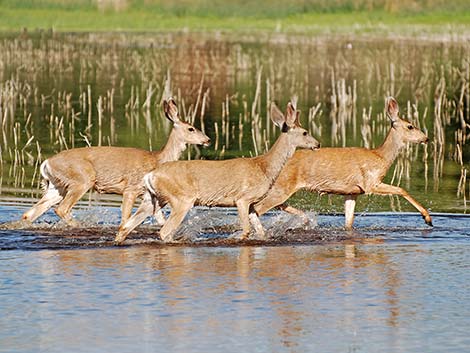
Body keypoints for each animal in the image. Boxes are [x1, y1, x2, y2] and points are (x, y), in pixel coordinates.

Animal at [22, 97, 209, 227]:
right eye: (191, 128)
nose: (207, 139)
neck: (157, 159)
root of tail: (46, 163)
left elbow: (160, 219)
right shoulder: (131, 188)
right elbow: (125, 218)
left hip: (57, 186)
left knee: (30, 213)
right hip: (81, 179)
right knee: (61, 208)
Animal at [114, 98, 320, 242]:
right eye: (305, 132)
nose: (317, 144)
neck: (264, 167)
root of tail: (151, 175)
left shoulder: (252, 204)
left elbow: (260, 232)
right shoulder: (242, 199)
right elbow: (246, 231)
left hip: (152, 198)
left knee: (125, 227)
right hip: (181, 199)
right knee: (163, 232)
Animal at [253, 96, 434, 228]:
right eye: (410, 126)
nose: (426, 138)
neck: (380, 157)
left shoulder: (353, 192)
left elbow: (349, 222)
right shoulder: (370, 183)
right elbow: (401, 189)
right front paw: (427, 218)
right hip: (281, 187)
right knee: (258, 208)